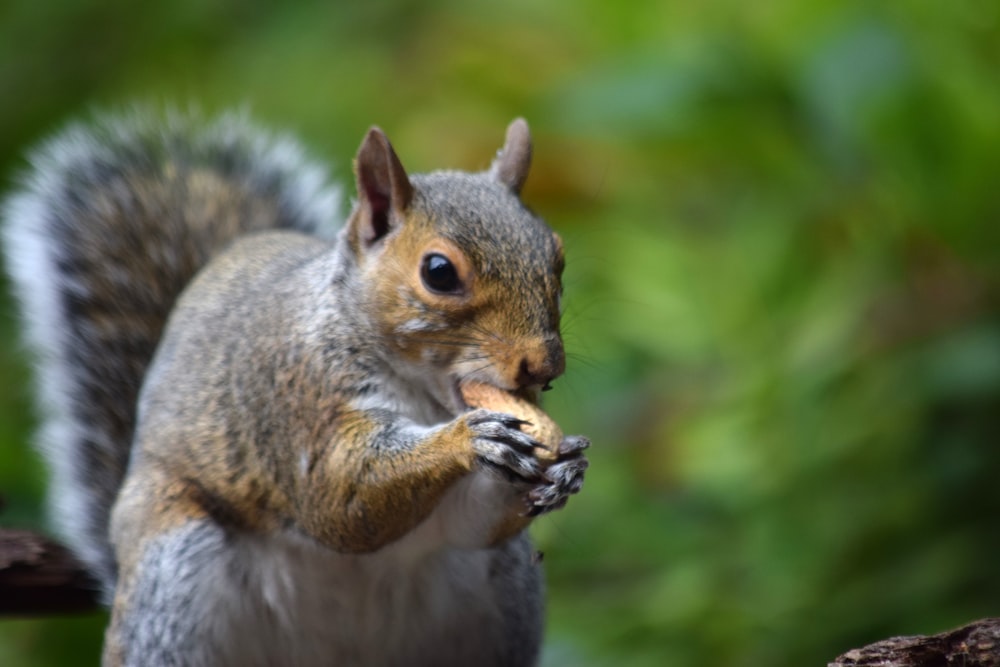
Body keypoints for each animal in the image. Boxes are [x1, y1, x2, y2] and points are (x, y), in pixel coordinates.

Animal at [3, 111, 588, 667]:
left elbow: (474, 525)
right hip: (173, 575)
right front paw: (470, 439)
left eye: (558, 257)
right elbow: (341, 498)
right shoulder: (297, 401)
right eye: (439, 271)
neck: (423, 396)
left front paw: (566, 467)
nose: (544, 365)